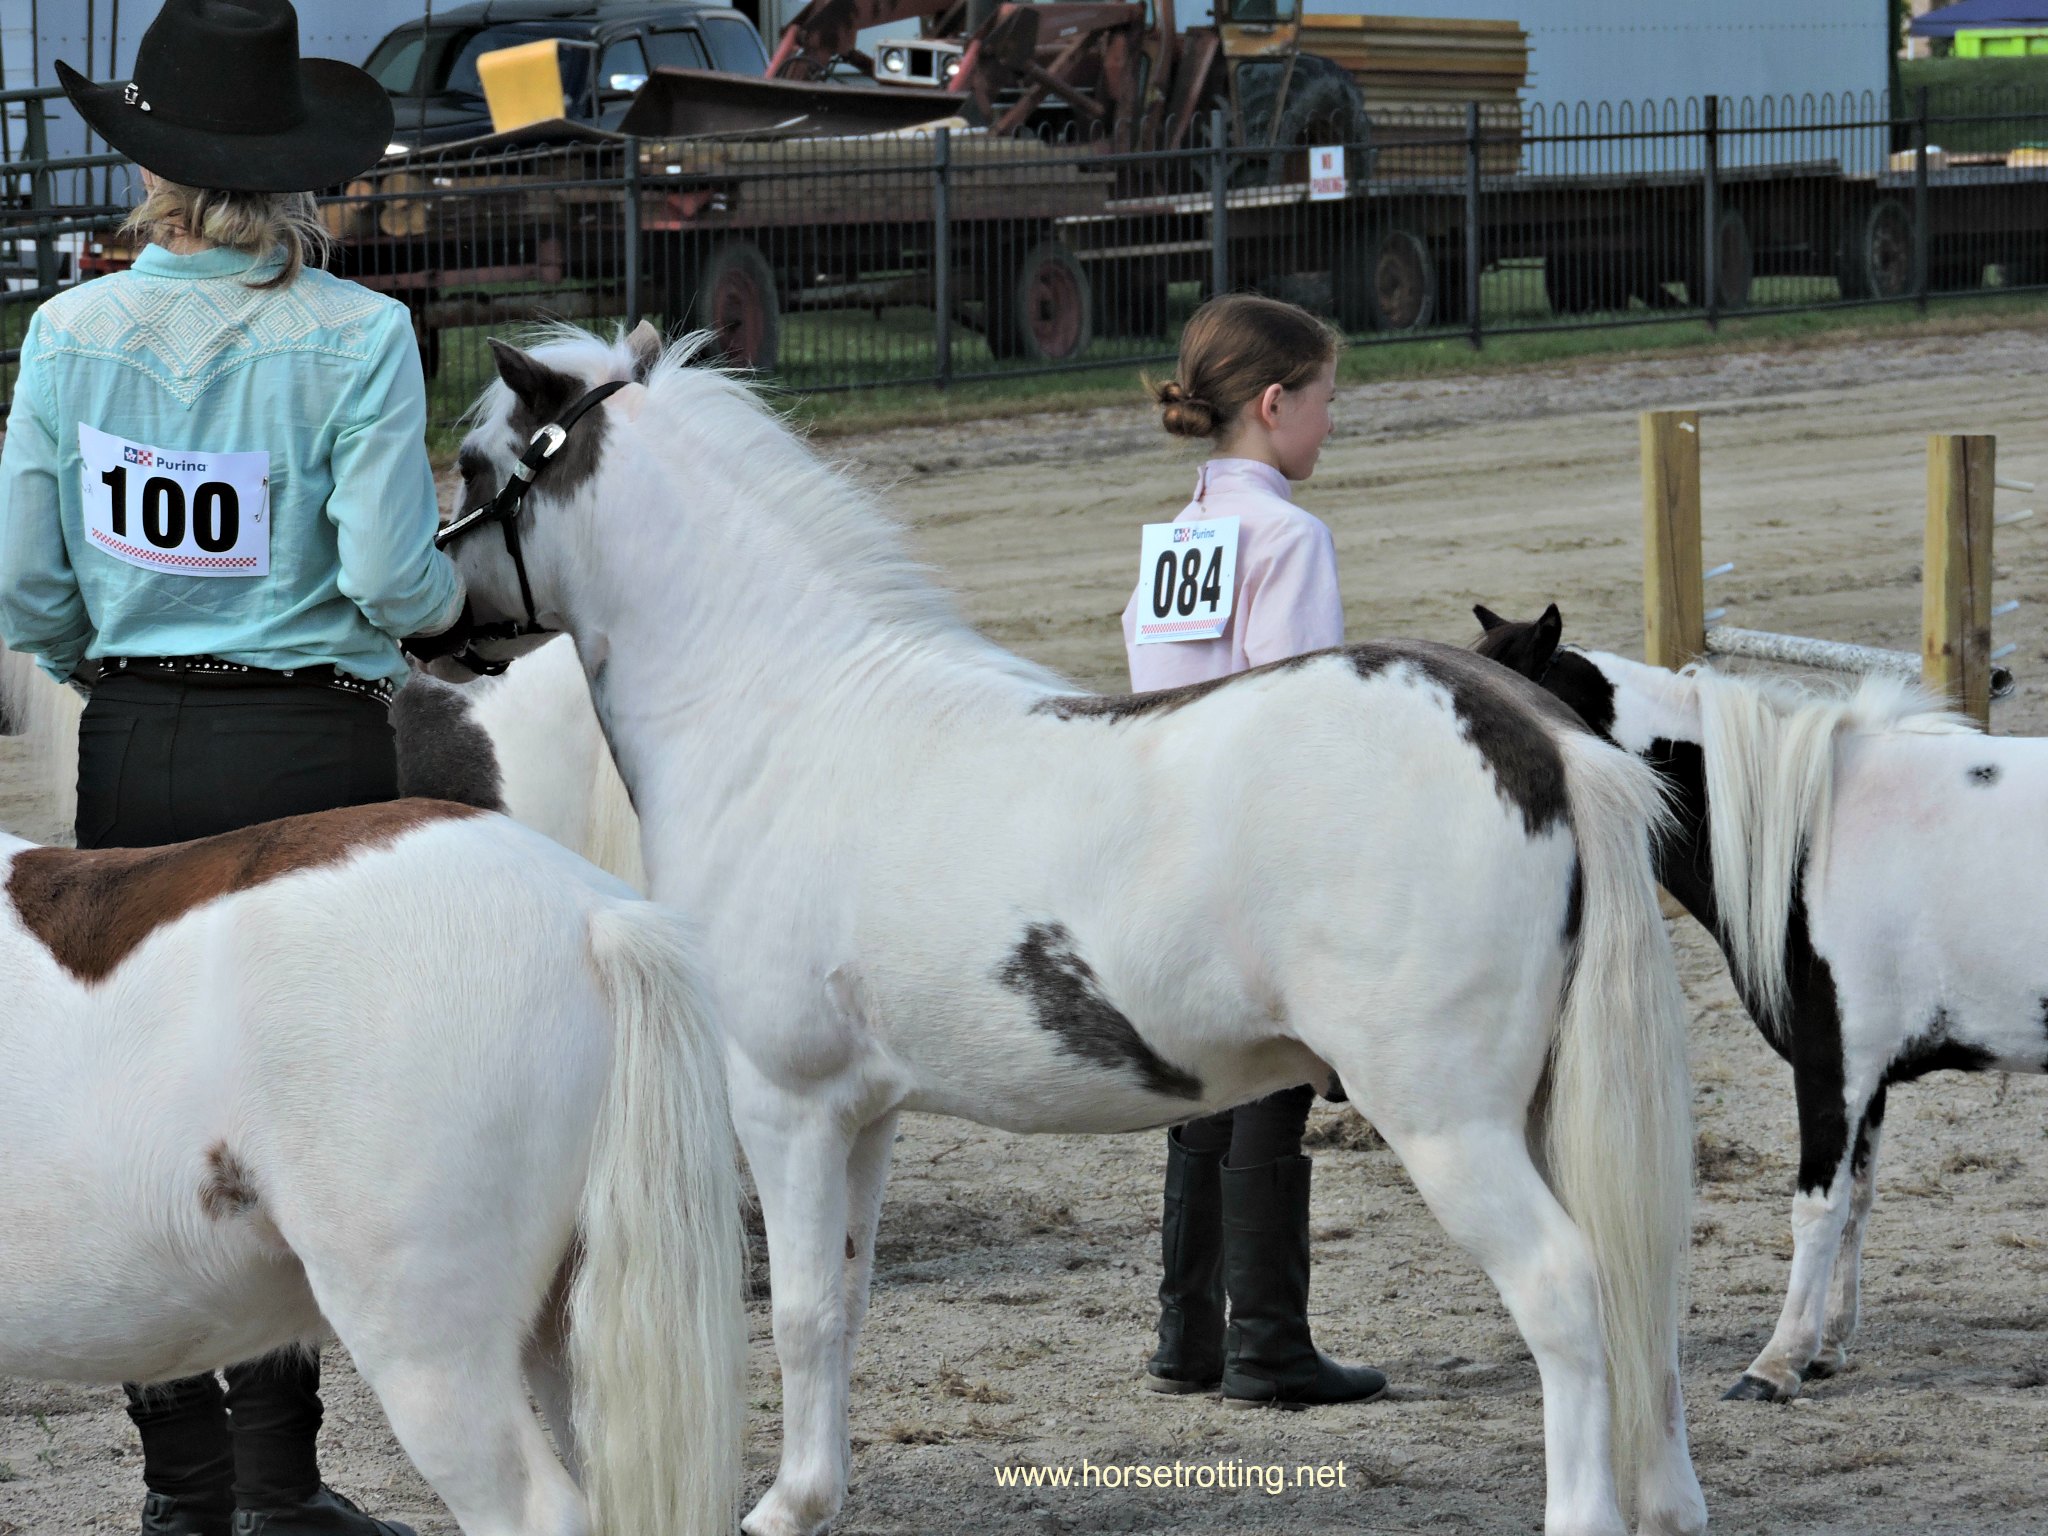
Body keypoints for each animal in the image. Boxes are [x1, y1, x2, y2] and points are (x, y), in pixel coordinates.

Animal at [391, 325, 1714, 1536]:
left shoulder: (785, 1098)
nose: (417, 625)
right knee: (1637, 1280)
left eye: (474, 460)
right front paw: (817, 1496)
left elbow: (802, 1314)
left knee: (1562, 1289)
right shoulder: (864, 1111)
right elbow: (848, 1305)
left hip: (1445, 1117)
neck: (782, 720)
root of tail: (1536, 740)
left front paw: (783, 1507)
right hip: (1542, 1103)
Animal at [1475, 602, 2048, 1404]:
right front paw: (1826, 1348)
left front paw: (1775, 1364)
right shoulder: (1868, 1077)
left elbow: (1816, 1209)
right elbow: (1857, 1204)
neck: (1815, 825)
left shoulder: (1833, 1062)